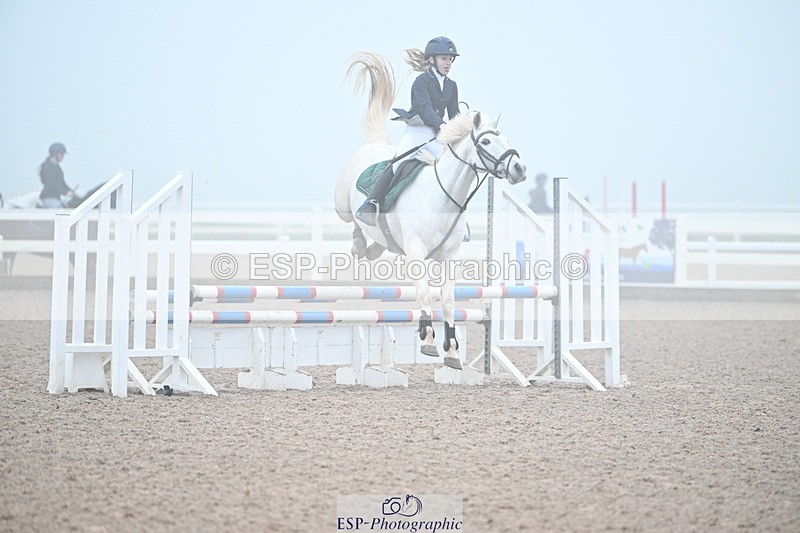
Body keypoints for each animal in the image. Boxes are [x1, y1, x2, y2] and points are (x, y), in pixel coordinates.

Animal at [334, 53, 528, 370]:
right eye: (486, 141)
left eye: (507, 141)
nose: (519, 169)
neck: (443, 198)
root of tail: (375, 145)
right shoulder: (416, 252)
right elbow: (424, 293)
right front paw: (426, 341)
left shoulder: (449, 257)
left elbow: (448, 301)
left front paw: (452, 352)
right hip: (341, 207)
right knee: (354, 221)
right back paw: (360, 241)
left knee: (379, 241)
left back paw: (371, 247)